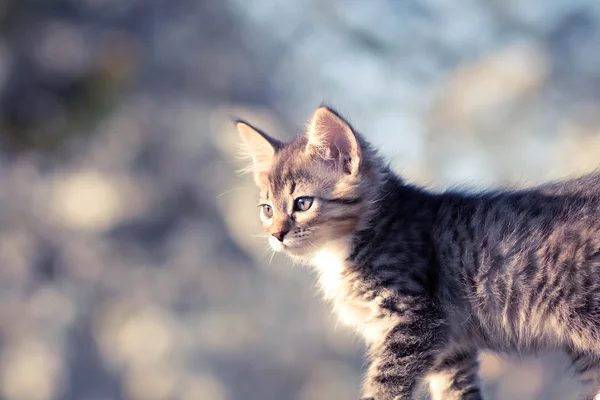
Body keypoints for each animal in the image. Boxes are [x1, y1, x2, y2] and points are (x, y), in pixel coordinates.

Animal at [237, 106, 600, 400]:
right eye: (267, 210)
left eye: (302, 203)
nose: (276, 234)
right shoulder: (451, 348)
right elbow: (456, 392)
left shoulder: (416, 319)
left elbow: (384, 384)